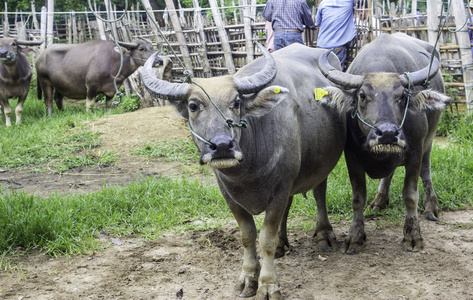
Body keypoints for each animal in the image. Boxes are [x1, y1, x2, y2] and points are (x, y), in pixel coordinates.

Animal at [142, 43, 344, 298]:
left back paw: (324, 235)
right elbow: (247, 235)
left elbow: (266, 238)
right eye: (193, 106)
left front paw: (268, 285)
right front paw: (248, 279)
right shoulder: (229, 195)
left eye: (237, 102)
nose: (221, 146)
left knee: (319, 194)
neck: (247, 173)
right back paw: (282, 244)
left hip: (320, 166)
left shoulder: (280, 189)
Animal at [318, 32, 450, 253]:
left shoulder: (414, 152)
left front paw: (413, 236)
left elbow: (410, 196)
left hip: (429, 140)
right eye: (362, 95)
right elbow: (357, 198)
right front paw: (355, 237)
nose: (387, 134)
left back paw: (432, 206)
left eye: (402, 97)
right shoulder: (352, 156)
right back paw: (379, 200)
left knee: (426, 170)